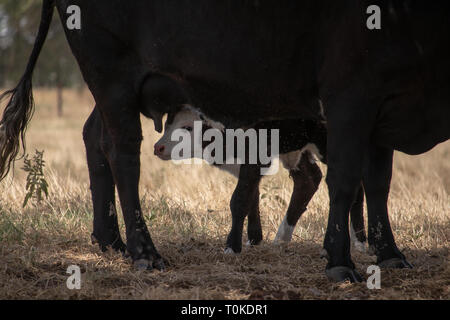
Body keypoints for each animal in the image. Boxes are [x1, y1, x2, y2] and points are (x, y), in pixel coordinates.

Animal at [155, 106, 366, 254]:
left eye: (187, 127)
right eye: (167, 124)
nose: (158, 147)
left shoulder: (254, 156)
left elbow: (240, 199)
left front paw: (232, 247)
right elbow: (252, 196)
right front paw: (254, 239)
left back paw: (360, 241)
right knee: (309, 180)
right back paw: (281, 239)